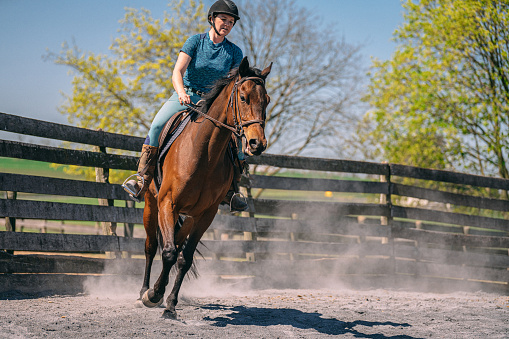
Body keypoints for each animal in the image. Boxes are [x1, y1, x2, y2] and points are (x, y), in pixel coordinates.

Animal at [135, 57, 270, 320]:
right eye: (243, 97)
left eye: (267, 100)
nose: (256, 143)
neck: (204, 152)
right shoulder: (167, 203)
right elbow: (166, 252)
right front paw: (153, 296)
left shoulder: (206, 214)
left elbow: (183, 258)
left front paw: (170, 304)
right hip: (151, 204)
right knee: (151, 246)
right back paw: (144, 291)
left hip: (189, 216)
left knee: (177, 245)